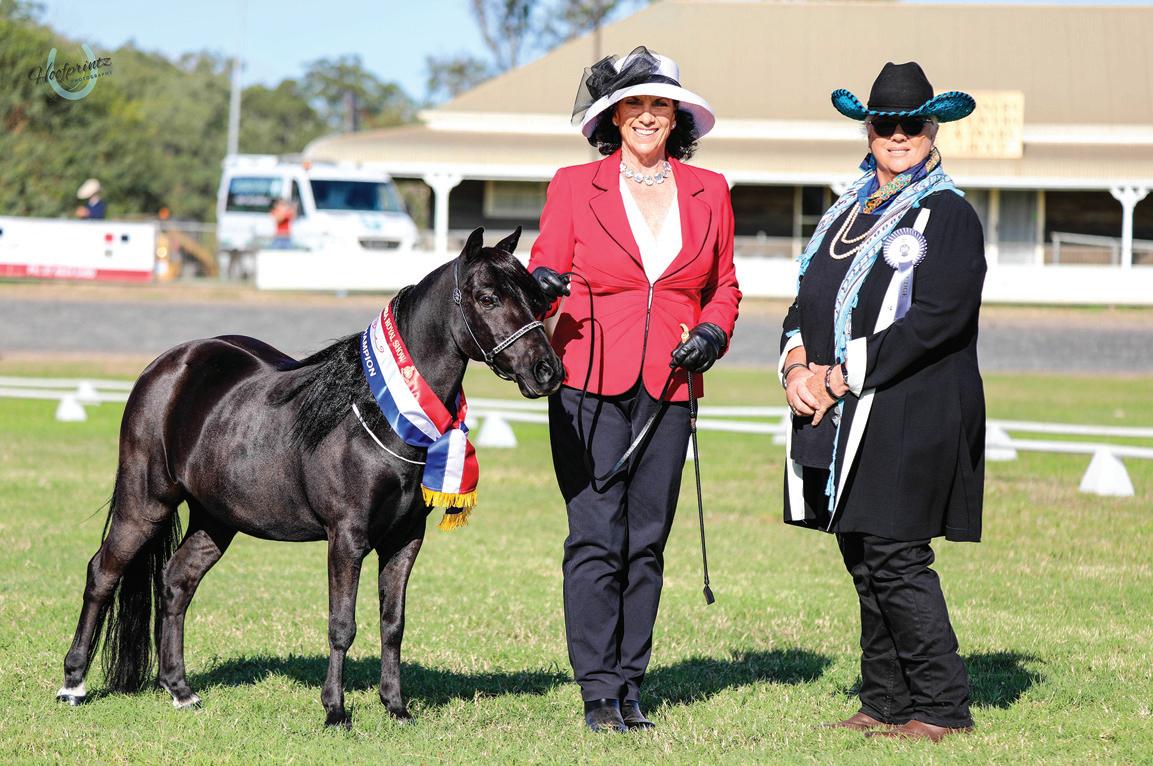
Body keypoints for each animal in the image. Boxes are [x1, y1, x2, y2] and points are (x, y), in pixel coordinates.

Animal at [57, 227, 564, 728]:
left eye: (537, 300)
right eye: (487, 297)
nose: (547, 371)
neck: (379, 413)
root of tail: (166, 367)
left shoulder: (405, 538)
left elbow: (393, 624)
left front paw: (396, 707)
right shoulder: (346, 537)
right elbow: (342, 625)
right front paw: (335, 711)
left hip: (215, 519)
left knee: (177, 581)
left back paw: (180, 690)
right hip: (145, 502)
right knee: (102, 573)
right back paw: (73, 684)